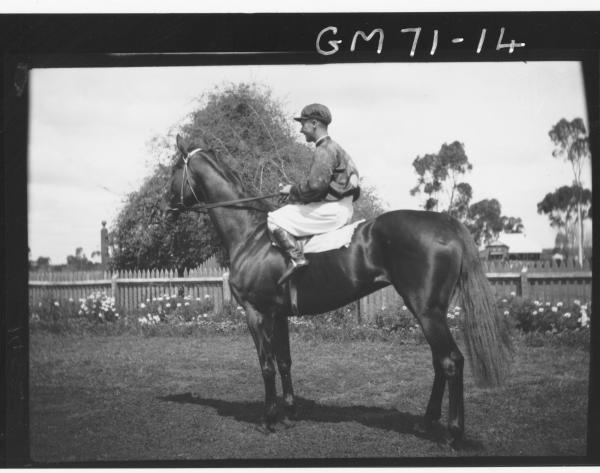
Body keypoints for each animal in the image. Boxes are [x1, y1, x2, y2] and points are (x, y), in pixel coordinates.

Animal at [164, 134, 510, 446]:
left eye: (174, 169)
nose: (166, 209)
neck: (252, 236)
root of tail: (445, 222)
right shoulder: (279, 314)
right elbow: (285, 362)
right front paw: (289, 415)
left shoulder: (256, 313)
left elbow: (266, 365)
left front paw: (269, 420)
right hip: (428, 311)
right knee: (440, 361)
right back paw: (427, 423)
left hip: (427, 312)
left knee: (451, 361)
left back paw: (452, 433)